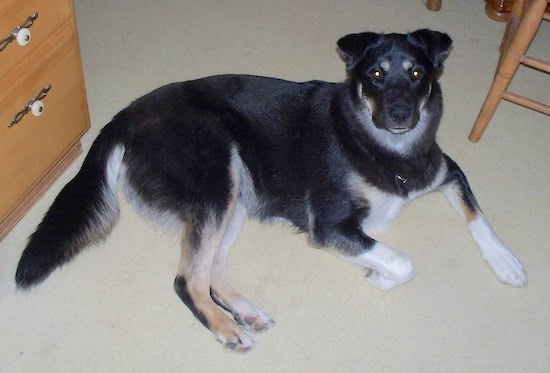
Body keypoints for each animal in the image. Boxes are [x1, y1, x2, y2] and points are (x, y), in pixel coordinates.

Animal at [15, 29, 528, 352]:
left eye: (417, 74)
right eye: (377, 75)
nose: (402, 114)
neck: (386, 148)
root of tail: (125, 115)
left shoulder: (444, 170)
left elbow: (476, 214)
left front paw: (506, 262)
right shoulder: (331, 227)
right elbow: (402, 262)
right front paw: (379, 276)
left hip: (238, 193)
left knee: (210, 271)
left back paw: (243, 311)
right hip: (217, 180)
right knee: (187, 279)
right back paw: (226, 328)